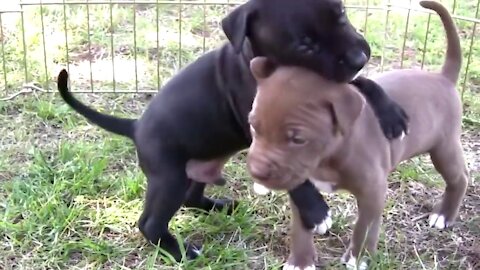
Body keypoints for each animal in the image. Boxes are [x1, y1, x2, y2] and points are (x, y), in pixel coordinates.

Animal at [56, 0, 406, 262]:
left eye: (341, 13)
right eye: (305, 45)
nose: (360, 57)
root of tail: (136, 125)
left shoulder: (331, 84)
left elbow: (360, 84)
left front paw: (391, 113)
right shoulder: (264, 128)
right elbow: (293, 171)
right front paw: (315, 210)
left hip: (200, 164)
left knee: (190, 197)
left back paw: (217, 206)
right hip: (168, 176)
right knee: (150, 222)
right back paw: (179, 251)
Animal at [248, 1, 468, 268]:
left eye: (298, 139)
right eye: (253, 126)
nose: (257, 171)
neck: (329, 155)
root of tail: (442, 77)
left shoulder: (373, 190)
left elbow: (365, 226)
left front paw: (359, 257)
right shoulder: (300, 184)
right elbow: (301, 224)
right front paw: (300, 260)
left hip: (444, 147)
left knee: (459, 178)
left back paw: (443, 215)